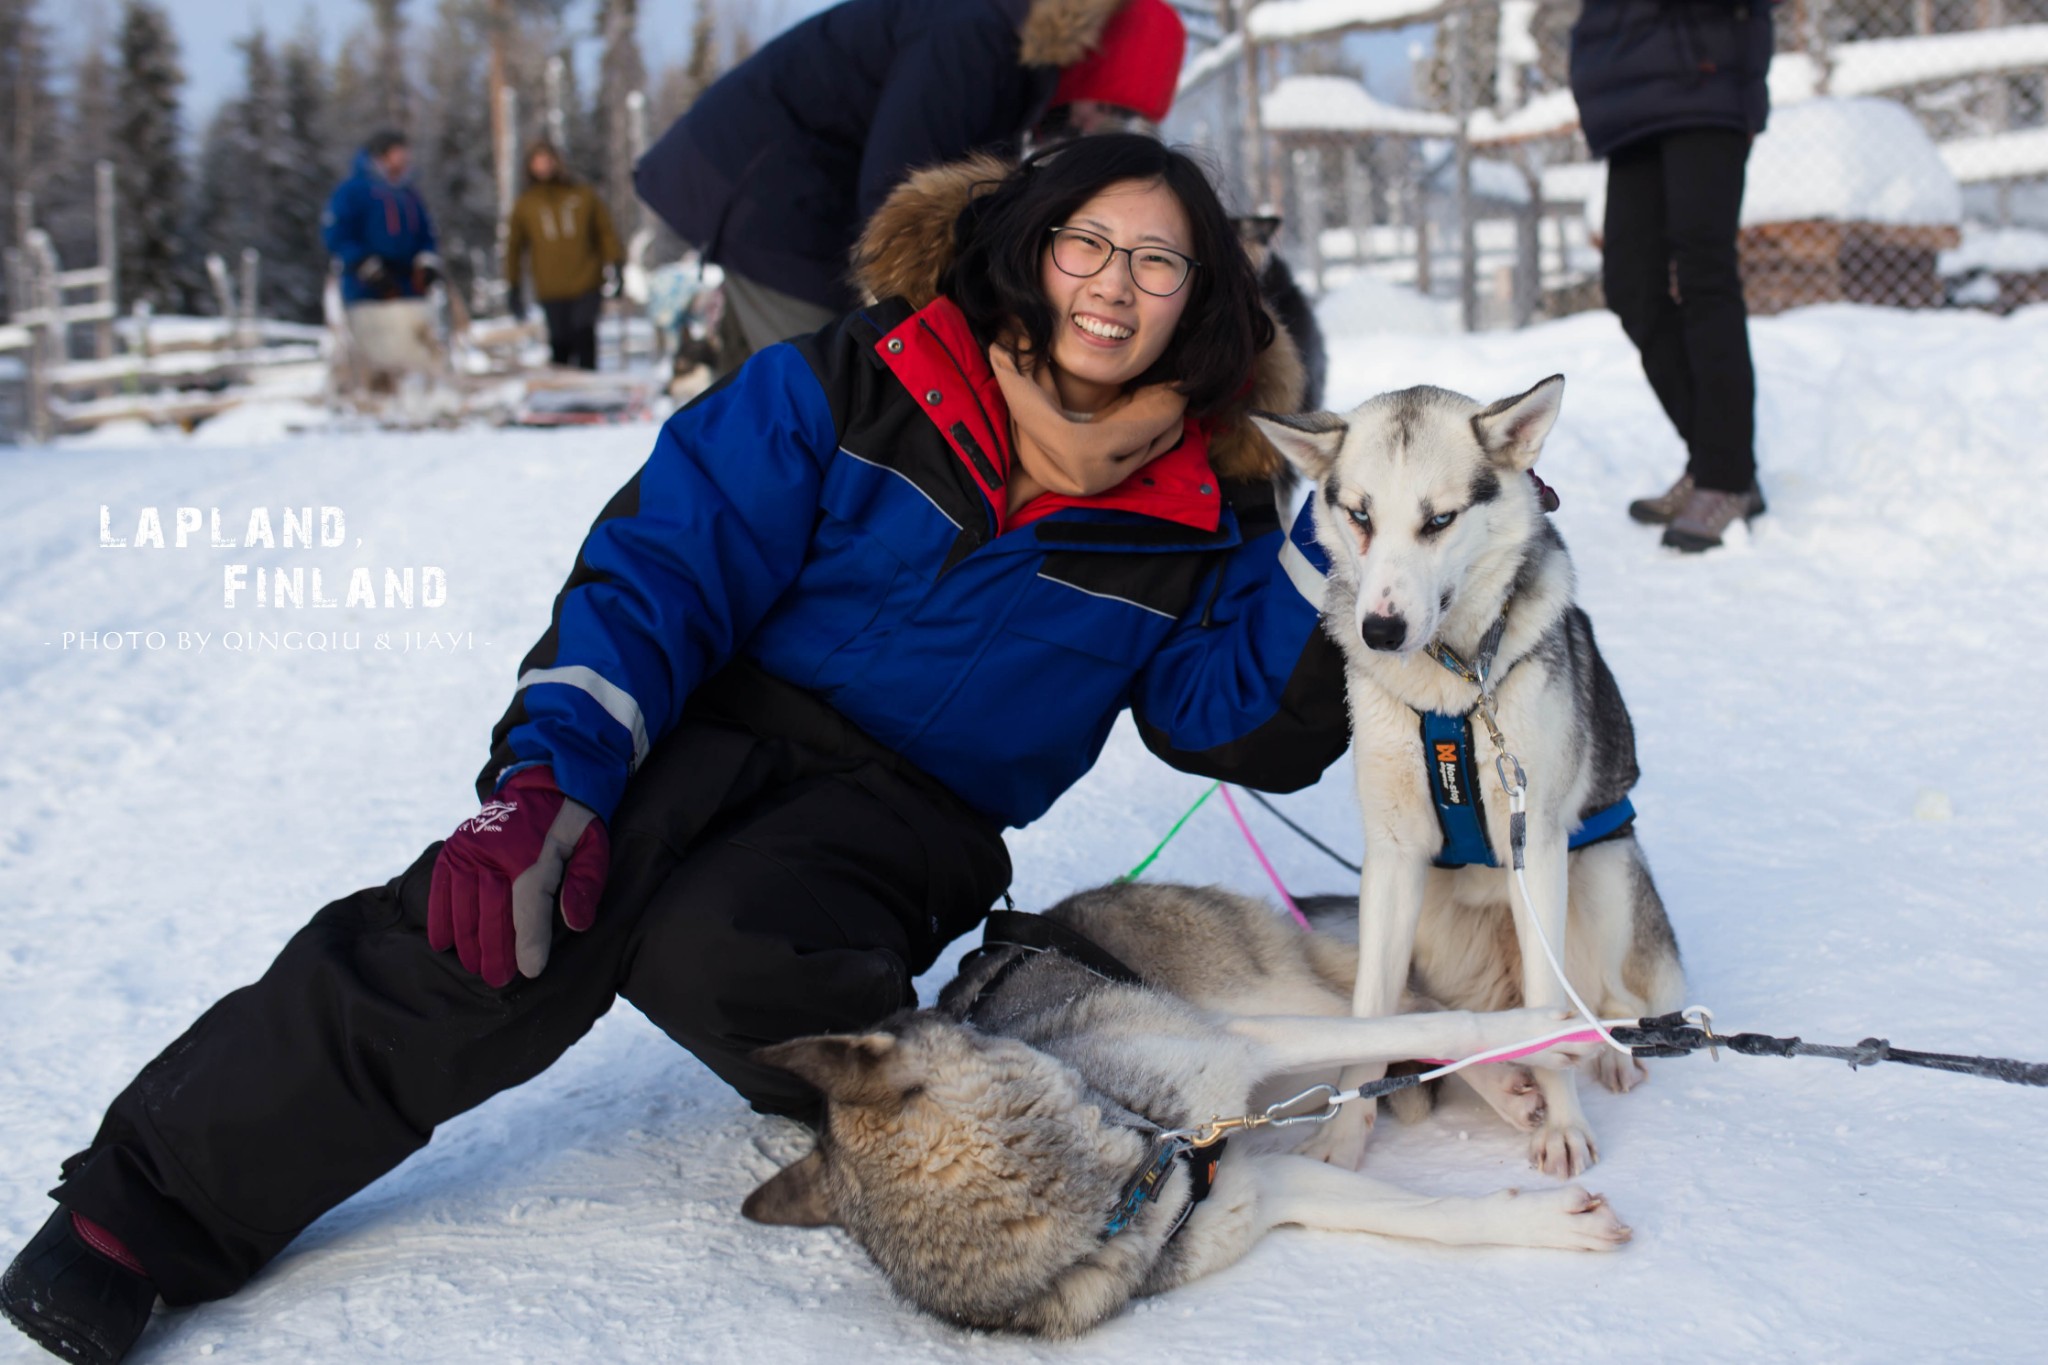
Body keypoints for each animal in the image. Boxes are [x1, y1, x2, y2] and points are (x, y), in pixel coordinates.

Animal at [745, 879, 1622, 1342]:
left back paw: (1522, 1072)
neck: (1142, 1169)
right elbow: (1440, 1218)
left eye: (955, 1017)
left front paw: (1545, 1032)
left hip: (1268, 997)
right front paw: (1543, 1222)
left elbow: (1429, 1022)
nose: (964, 989)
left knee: (1400, 1003)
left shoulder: (1245, 1043)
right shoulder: (1263, 1189)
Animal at [1253, 378, 1687, 1178]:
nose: (1380, 631)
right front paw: (1342, 1139)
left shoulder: (1535, 847)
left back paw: (1610, 1054)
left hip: (1603, 876)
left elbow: (1553, 1014)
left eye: (1439, 520)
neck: (1453, 690)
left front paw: (1564, 1126)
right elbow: (1370, 1016)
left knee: (1606, 1000)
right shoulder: (1392, 859)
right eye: (1361, 515)